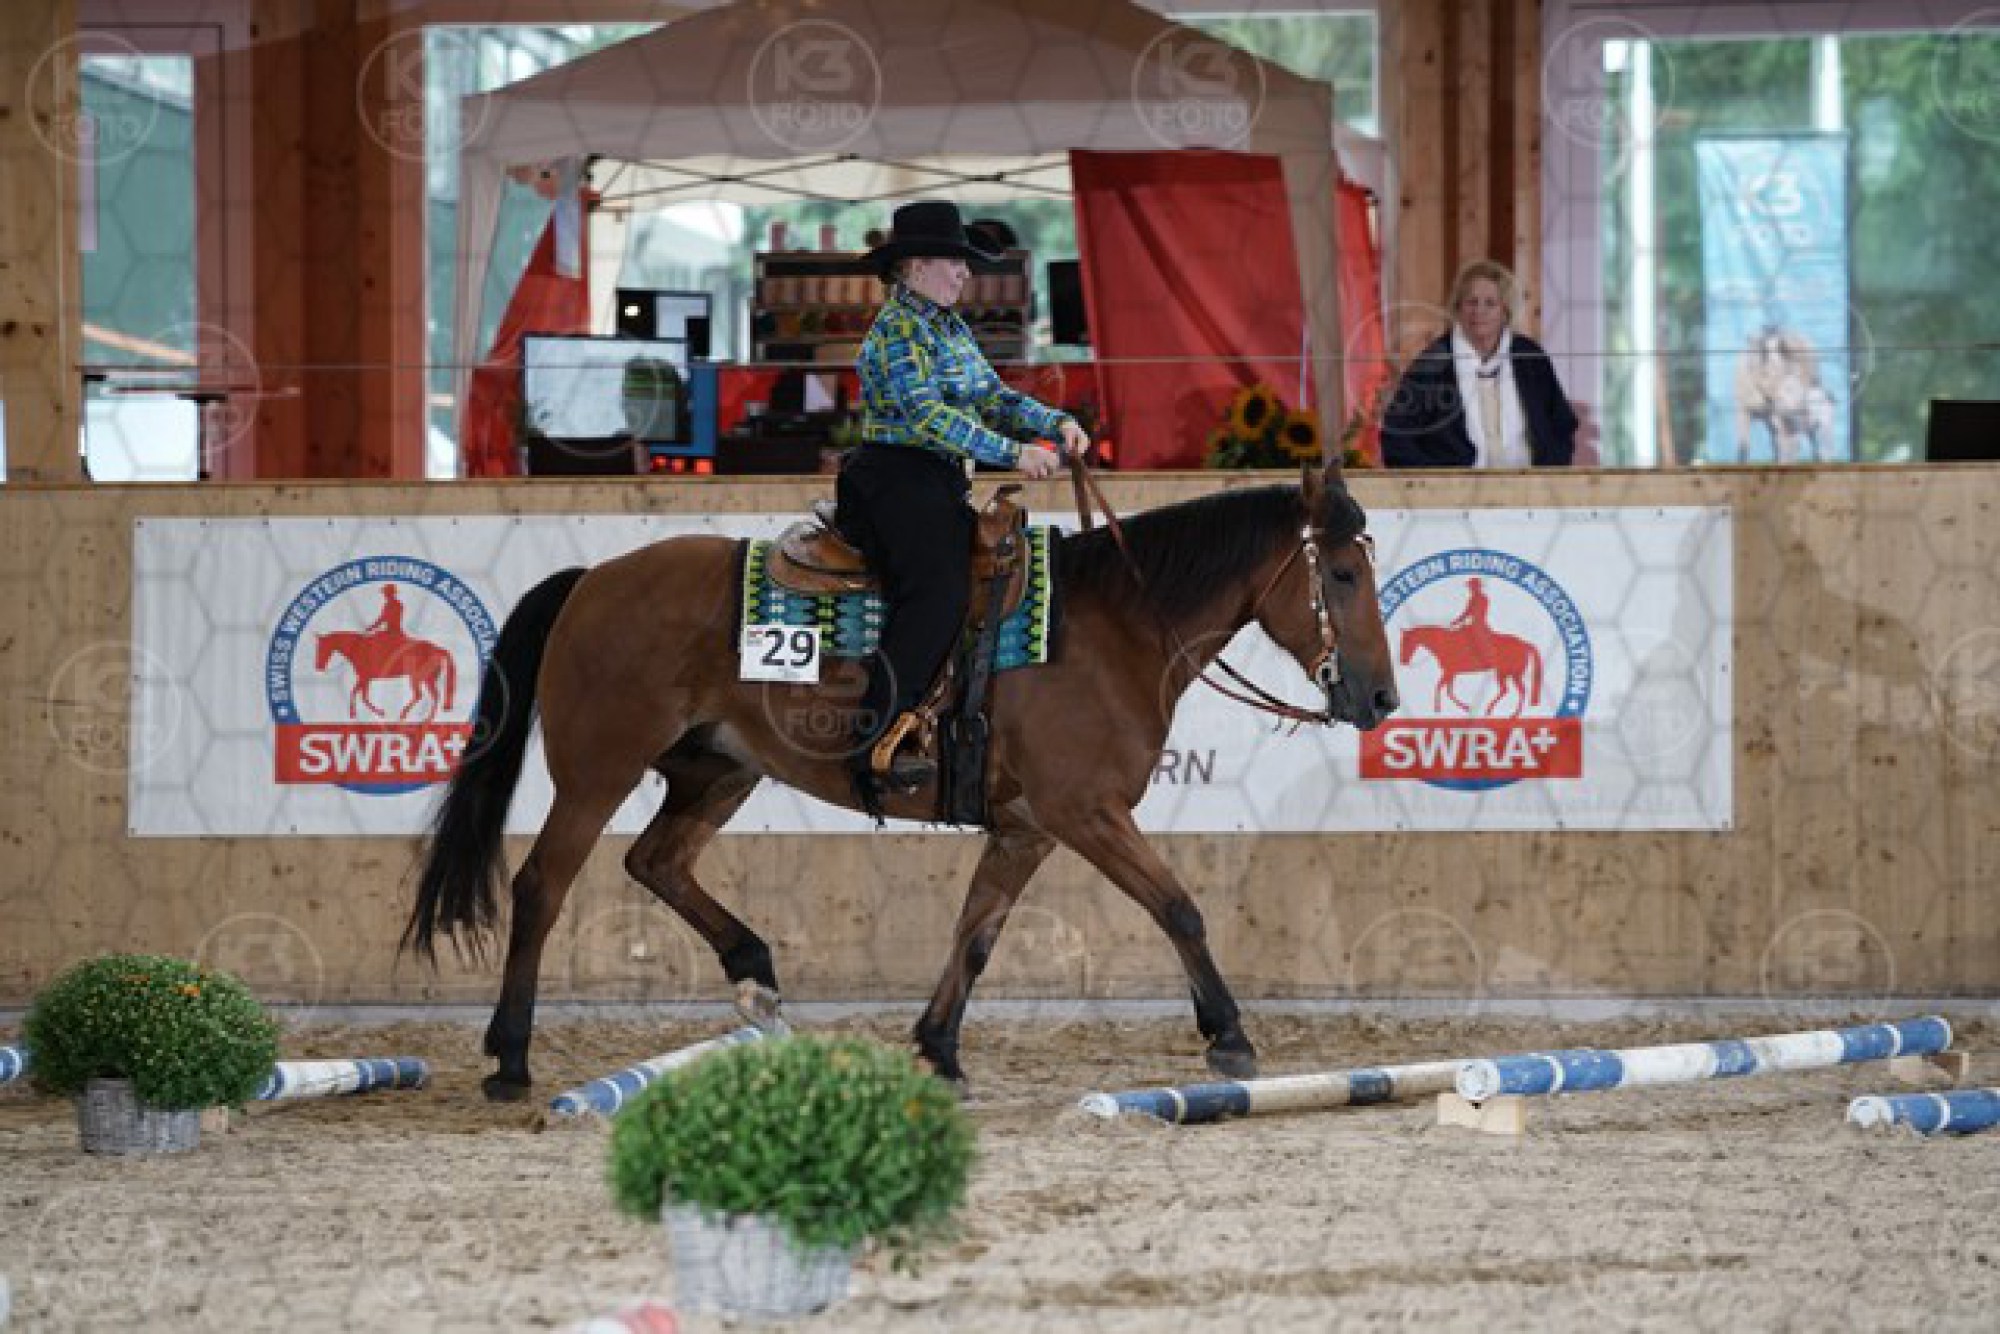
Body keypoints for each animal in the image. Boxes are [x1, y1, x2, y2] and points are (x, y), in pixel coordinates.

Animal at [315, 630, 458, 722]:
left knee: (420, 695)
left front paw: (374, 712)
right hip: (428, 679)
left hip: (418, 678)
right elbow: (361, 694)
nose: (318, 666)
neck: (360, 648)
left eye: (323, 647)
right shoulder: (366, 678)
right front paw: (364, 712)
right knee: (433, 695)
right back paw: (427, 718)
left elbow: (359, 694)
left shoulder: (364, 677)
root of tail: (437, 649)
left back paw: (407, 715)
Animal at [404, 463, 1399, 1101]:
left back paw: (754, 971)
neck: (1117, 626)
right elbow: (1179, 908)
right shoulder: (1085, 812)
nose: (1382, 697)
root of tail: (591, 579)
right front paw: (1229, 1036)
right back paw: (510, 1058)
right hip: (598, 770)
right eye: (1345, 573)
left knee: (655, 863)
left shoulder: (1028, 826)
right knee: (542, 885)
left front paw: (937, 1048)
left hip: (718, 770)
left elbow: (976, 935)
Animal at [1399, 623, 1542, 717]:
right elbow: (1449, 691)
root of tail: (1524, 643)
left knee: (1511, 690)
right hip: (1509, 674)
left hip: (1507, 673)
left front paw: (1438, 708)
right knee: (1514, 690)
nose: (1403, 661)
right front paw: (1466, 707)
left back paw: (1501, 712)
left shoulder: (1448, 672)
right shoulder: (1452, 672)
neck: (1445, 643)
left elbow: (1440, 687)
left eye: (1407, 642)